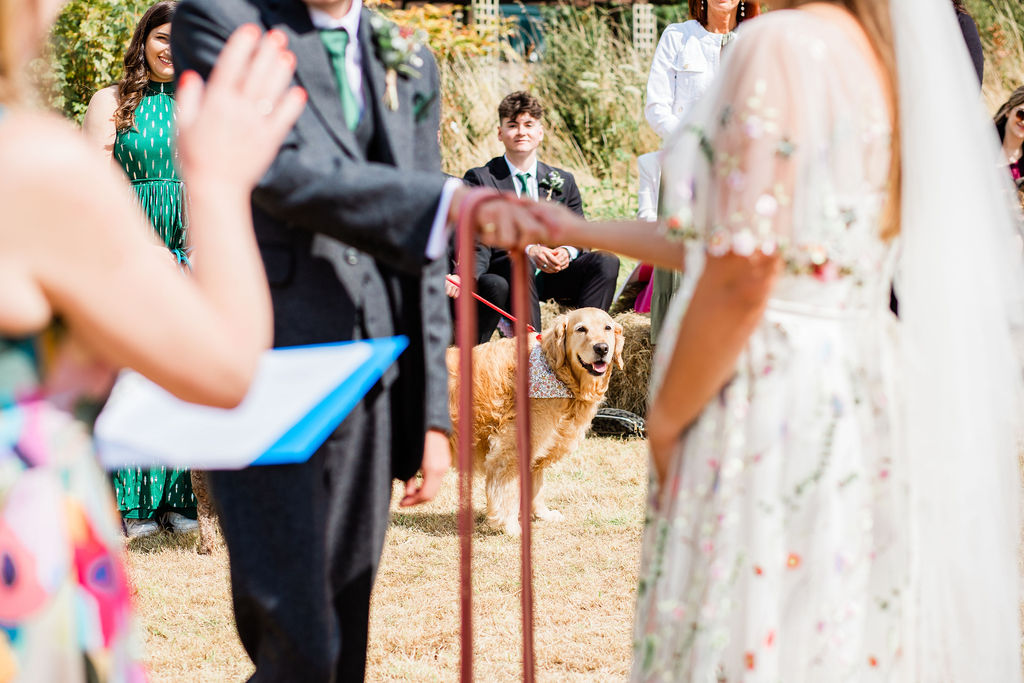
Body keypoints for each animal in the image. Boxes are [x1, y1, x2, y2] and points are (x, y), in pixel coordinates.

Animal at [447, 307, 624, 535]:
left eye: (607, 327)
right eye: (581, 329)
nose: (602, 348)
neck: (556, 371)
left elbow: (536, 487)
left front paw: (541, 514)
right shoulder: (509, 451)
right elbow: (508, 492)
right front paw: (510, 526)